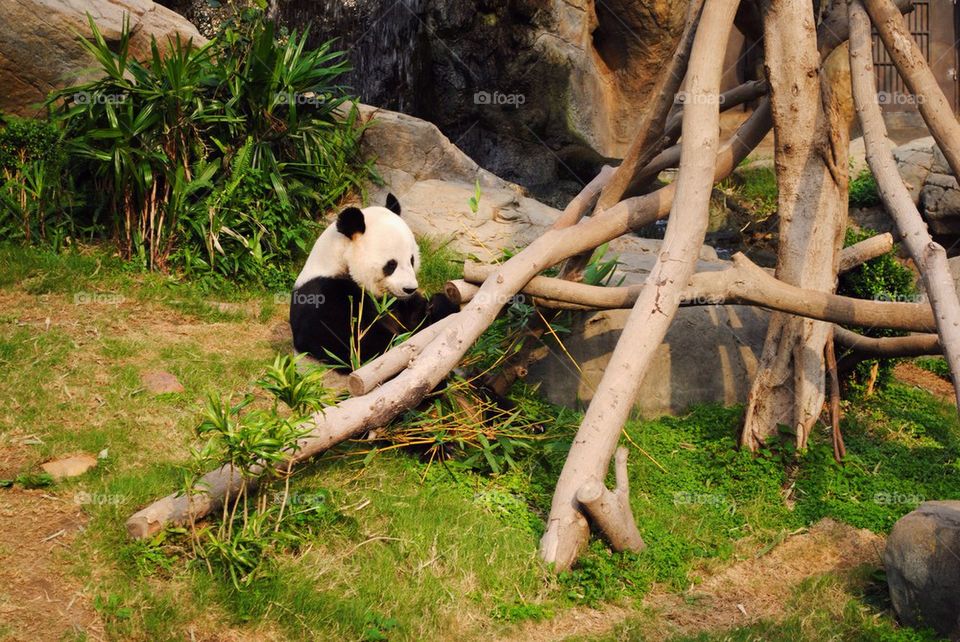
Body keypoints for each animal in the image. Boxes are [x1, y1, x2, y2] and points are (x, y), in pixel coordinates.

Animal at [290, 194, 459, 370]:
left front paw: (437, 303)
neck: (340, 262)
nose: (410, 289)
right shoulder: (323, 296)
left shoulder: (398, 303)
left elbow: (421, 322)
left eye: (412, 260)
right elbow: (356, 344)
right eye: (391, 264)